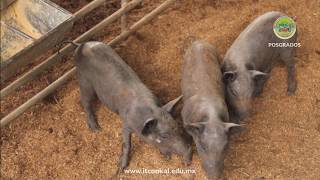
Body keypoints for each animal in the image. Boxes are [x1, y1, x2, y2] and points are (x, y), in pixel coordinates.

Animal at [74, 41, 191, 172]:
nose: (189, 151)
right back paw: (96, 129)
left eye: (177, 127)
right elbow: (126, 143)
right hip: (84, 81)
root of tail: (81, 45)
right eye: (164, 136)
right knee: (86, 102)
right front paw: (120, 169)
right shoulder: (126, 123)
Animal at [181, 39, 241, 179]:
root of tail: (199, 41)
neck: (212, 118)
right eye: (203, 147)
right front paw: (186, 163)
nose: (215, 177)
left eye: (225, 147)